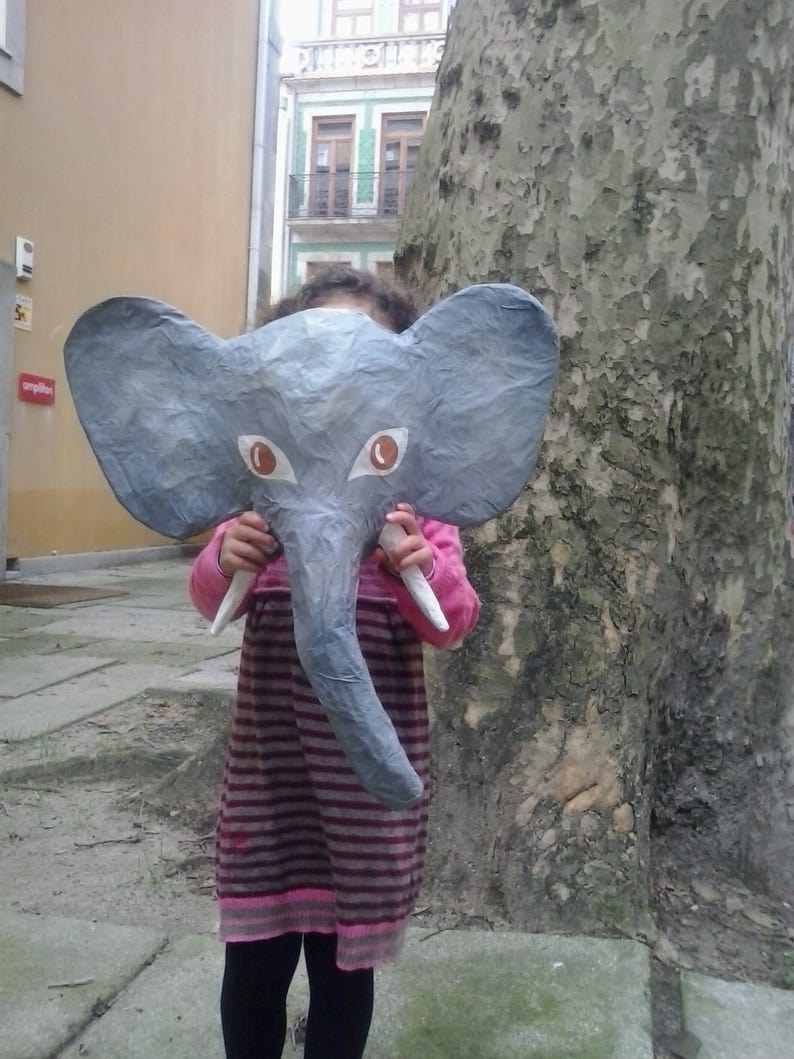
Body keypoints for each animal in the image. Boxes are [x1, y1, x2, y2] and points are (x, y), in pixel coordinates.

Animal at [63, 283, 559, 809]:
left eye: (385, 452)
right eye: (261, 458)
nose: (416, 790)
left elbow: (458, 614)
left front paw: (413, 552)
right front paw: (236, 547)